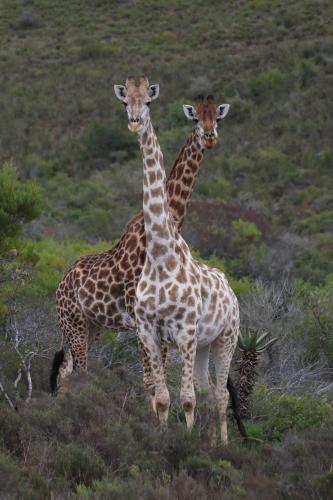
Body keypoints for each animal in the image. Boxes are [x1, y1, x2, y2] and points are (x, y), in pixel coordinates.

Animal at [50, 89, 230, 394]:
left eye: (217, 117)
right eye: (196, 118)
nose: (209, 137)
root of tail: (60, 284)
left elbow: (159, 379)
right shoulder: (140, 318)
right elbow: (150, 381)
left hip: (92, 325)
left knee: (66, 370)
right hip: (74, 322)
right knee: (77, 371)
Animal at [114, 77, 239, 446]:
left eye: (148, 102)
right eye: (125, 102)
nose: (135, 122)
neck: (160, 255)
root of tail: (231, 289)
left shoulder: (183, 332)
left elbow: (185, 399)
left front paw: (188, 444)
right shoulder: (147, 331)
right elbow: (162, 397)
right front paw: (162, 440)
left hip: (226, 337)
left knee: (218, 392)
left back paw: (222, 445)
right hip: (203, 343)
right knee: (208, 389)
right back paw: (212, 441)